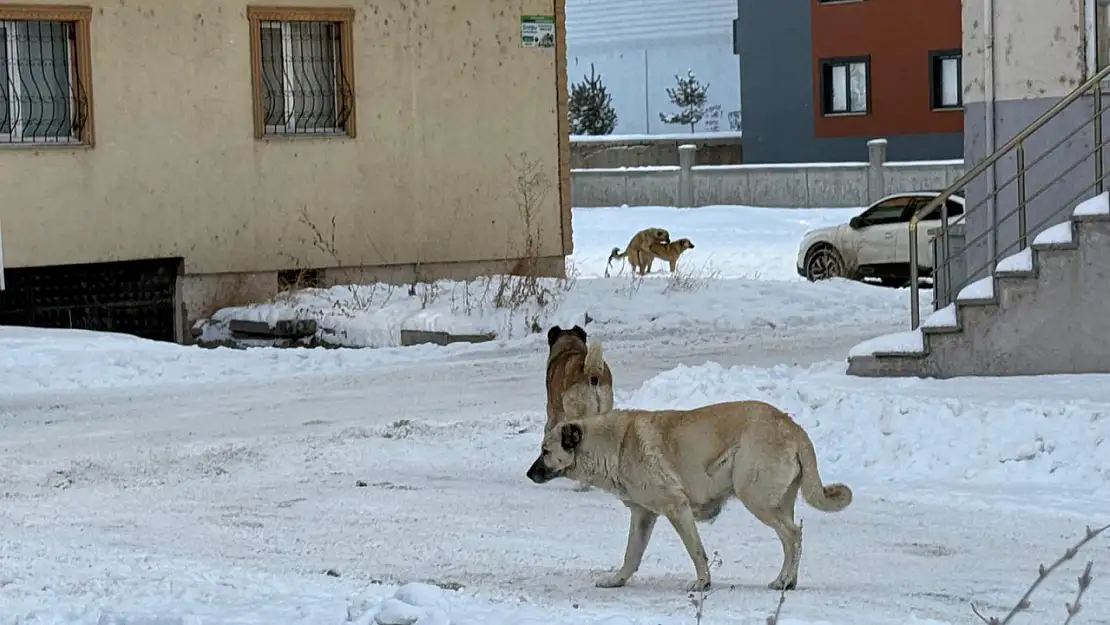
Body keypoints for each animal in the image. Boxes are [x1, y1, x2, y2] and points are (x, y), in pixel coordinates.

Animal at [523, 401, 852, 590]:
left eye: (545, 451)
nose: (528, 474)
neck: (612, 444)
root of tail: (793, 427)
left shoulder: (676, 507)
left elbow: (696, 551)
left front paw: (703, 583)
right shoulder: (643, 515)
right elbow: (631, 554)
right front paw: (617, 580)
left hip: (755, 498)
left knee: (793, 535)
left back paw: (783, 580)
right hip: (777, 502)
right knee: (791, 539)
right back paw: (789, 580)